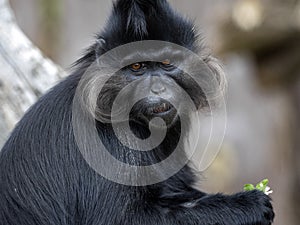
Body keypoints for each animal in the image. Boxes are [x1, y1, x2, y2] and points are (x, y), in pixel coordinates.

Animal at [0, 0, 274, 225]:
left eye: (166, 64)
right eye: (137, 67)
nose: (157, 87)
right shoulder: (110, 142)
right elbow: (124, 218)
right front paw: (249, 204)